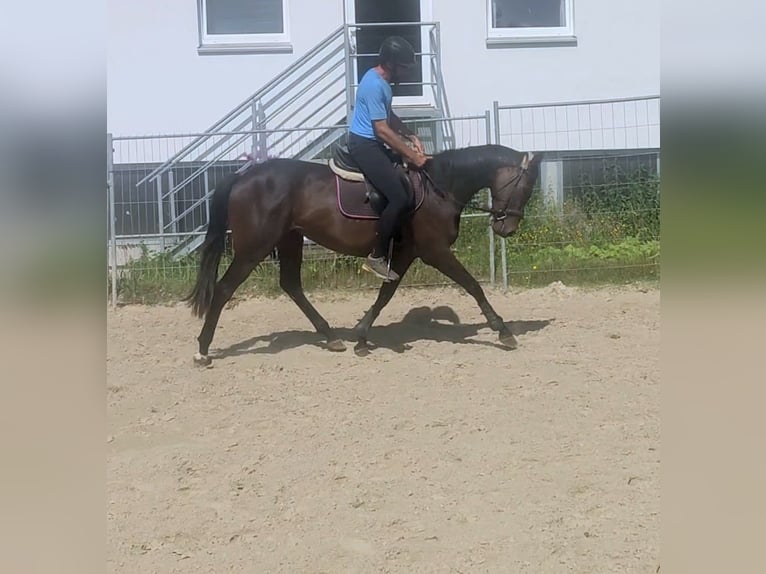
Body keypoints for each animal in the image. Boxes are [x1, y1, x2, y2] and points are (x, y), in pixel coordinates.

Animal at [186, 146, 544, 366]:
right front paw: (503, 331)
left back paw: (331, 337)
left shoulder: (405, 254)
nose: (507, 227)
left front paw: (360, 336)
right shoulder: (435, 252)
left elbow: (386, 294)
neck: (440, 188)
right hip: (254, 248)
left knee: (291, 285)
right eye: (526, 187)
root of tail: (242, 176)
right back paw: (202, 349)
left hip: (290, 240)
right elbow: (473, 286)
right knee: (224, 289)